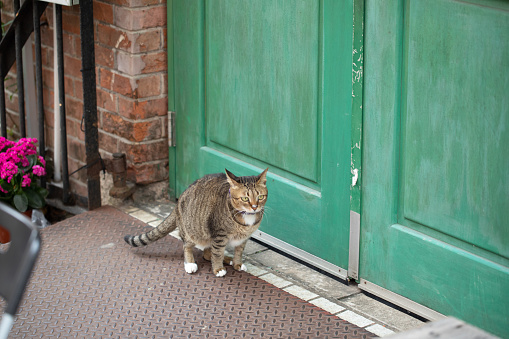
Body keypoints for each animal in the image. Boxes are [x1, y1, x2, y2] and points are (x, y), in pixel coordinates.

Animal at [123, 169, 268, 278]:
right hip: (192, 231)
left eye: (260, 197)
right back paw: (190, 264)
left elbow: (238, 251)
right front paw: (218, 269)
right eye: (245, 198)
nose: (254, 207)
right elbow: (217, 253)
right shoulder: (219, 235)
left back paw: (228, 259)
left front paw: (237, 263)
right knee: (189, 246)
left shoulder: (243, 238)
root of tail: (178, 201)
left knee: (207, 254)